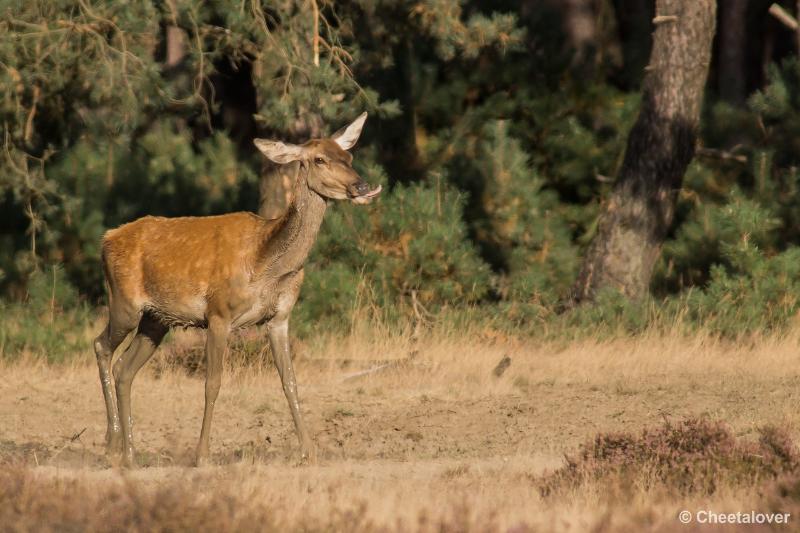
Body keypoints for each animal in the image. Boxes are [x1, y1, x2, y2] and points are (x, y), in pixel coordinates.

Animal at [92, 112, 380, 466]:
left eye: (349, 157)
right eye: (319, 159)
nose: (362, 186)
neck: (265, 263)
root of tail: (106, 239)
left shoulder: (280, 317)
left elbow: (290, 381)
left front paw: (309, 451)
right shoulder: (218, 313)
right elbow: (212, 383)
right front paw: (202, 455)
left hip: (156, 319)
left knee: (124, 369)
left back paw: (130, 452)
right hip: (124, 302)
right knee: (101, 346)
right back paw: (111, 444)